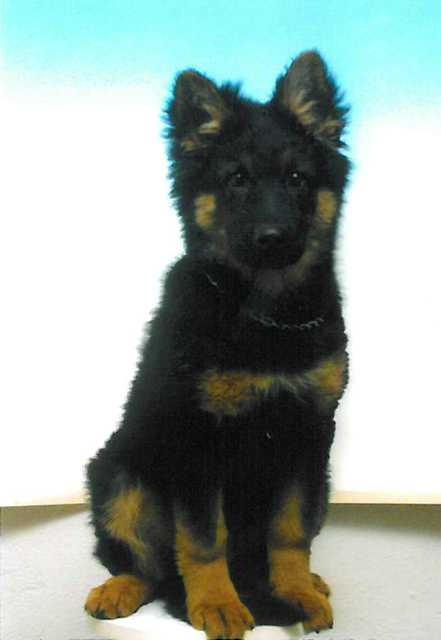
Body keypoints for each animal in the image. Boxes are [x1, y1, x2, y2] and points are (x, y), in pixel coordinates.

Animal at [85, 50, 350, 638]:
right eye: (237, 180)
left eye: (297, 179)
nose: (272, 238)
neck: (267, 315)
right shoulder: (197, 438)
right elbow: (205, 540)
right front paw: (218, 604)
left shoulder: (309, 434)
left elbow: (290, 531)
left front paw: (295, 591)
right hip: (118, 473)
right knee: (147, 564)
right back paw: (122, 588)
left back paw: (304, 581)